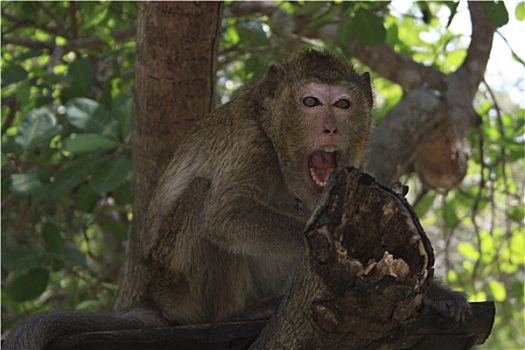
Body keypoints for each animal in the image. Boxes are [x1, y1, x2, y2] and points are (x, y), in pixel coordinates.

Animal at [3, 50, 470, 350]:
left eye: (342, 104)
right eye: (310, 102)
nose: (331, 128)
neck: (279, 144)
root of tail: (151, 300)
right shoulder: (254, 144)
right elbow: (226, 215)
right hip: (179, 291)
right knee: (200, 200)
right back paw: (232, 316)